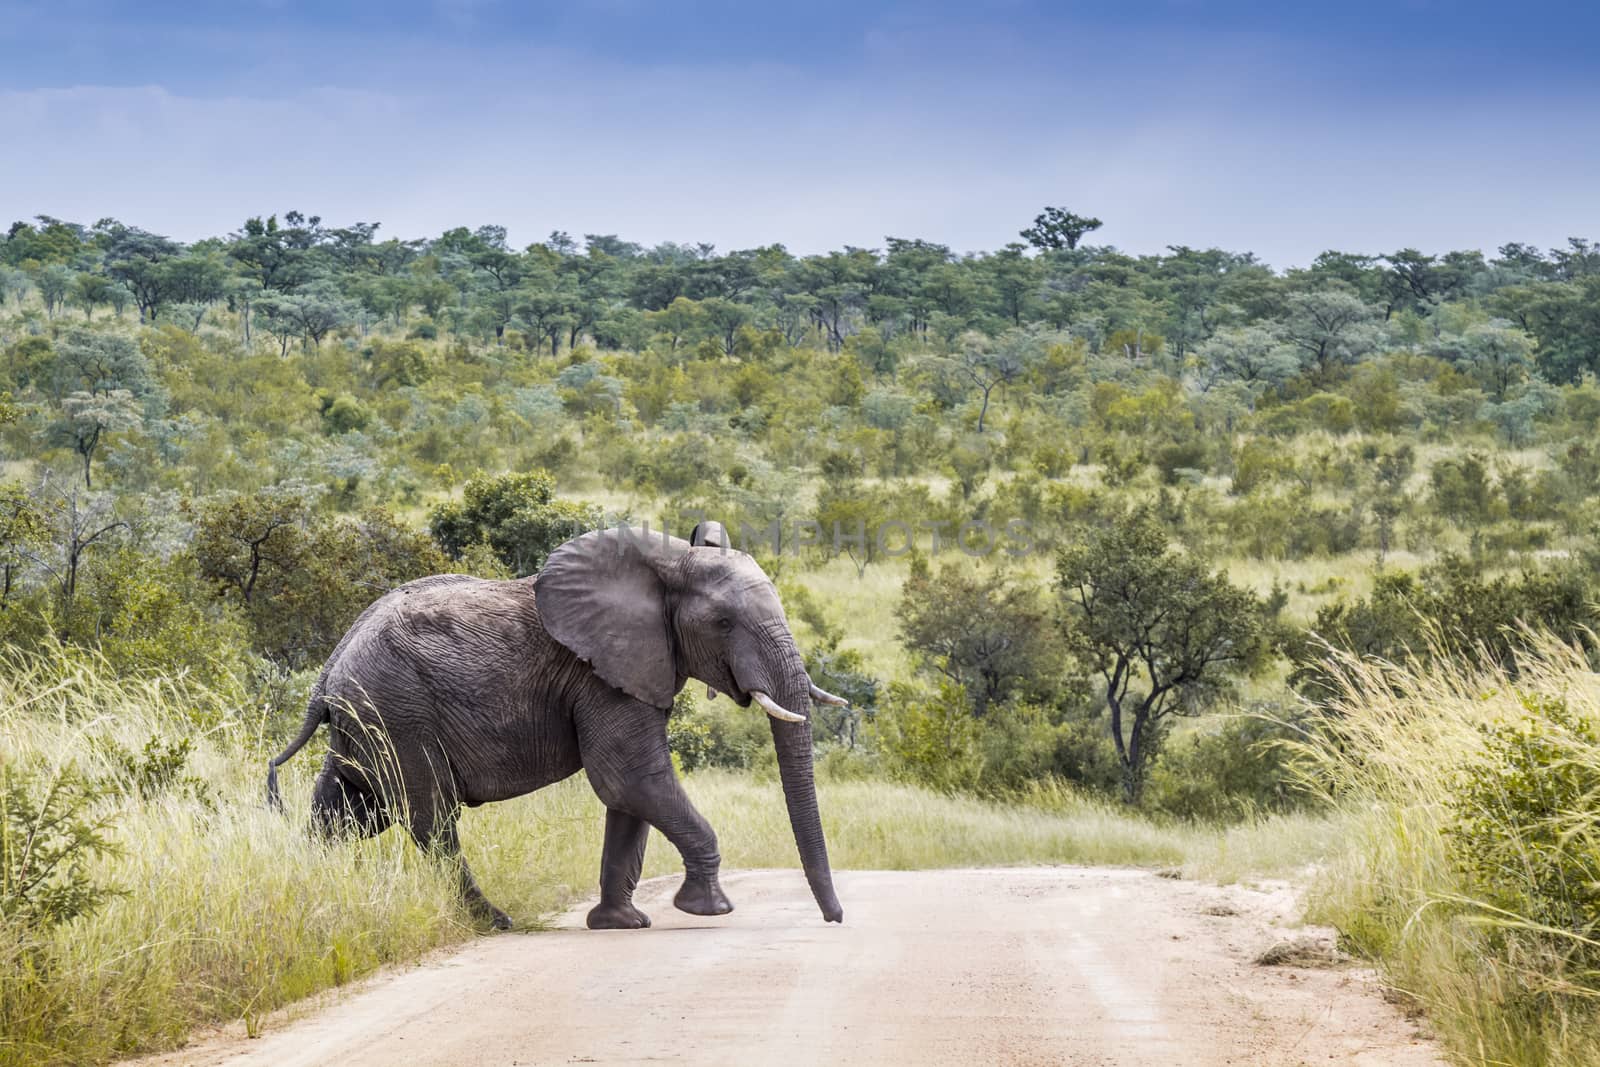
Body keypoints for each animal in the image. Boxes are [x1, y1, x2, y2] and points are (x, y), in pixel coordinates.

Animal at [262, 521, 851, 927]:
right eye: (724, 623)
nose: (835, 918)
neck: (669, 562)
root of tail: (327, 672)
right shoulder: (600, 675)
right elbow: (629, 778)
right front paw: (708, 910)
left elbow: (628, 795)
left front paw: (619, 924)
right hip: (398, 712)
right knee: (430, 819)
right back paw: (494, 921)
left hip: (368, 721)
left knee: (347, 809)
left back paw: (316, 888)